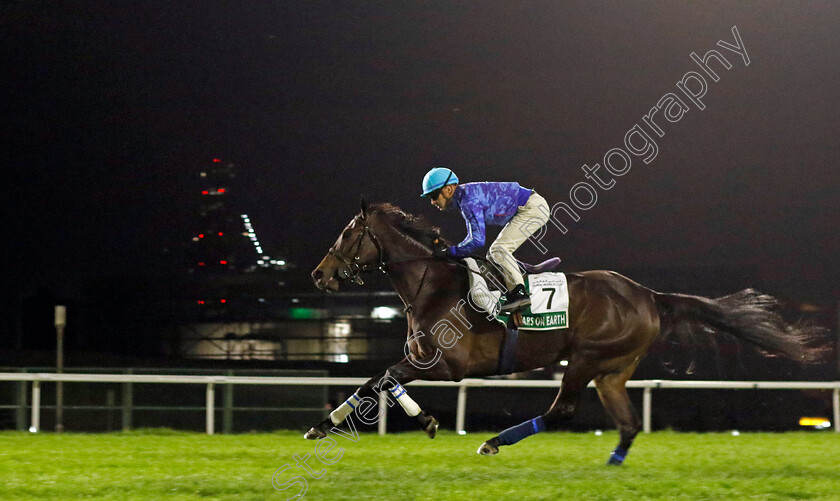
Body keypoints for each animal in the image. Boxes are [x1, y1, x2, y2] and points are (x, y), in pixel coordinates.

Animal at [306, 200, 820, 464]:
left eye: (348, 233)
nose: (319, 274)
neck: (433, 285)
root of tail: (649, 295)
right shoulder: (422, 361)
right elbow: (375, 381)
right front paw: (324, 425)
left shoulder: (446, 366)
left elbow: (384, 380)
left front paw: (426, 420)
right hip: (613, 369)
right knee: (628, 423)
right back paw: (612, 466)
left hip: (587, 358)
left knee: (564, 410)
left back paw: (494, 441)